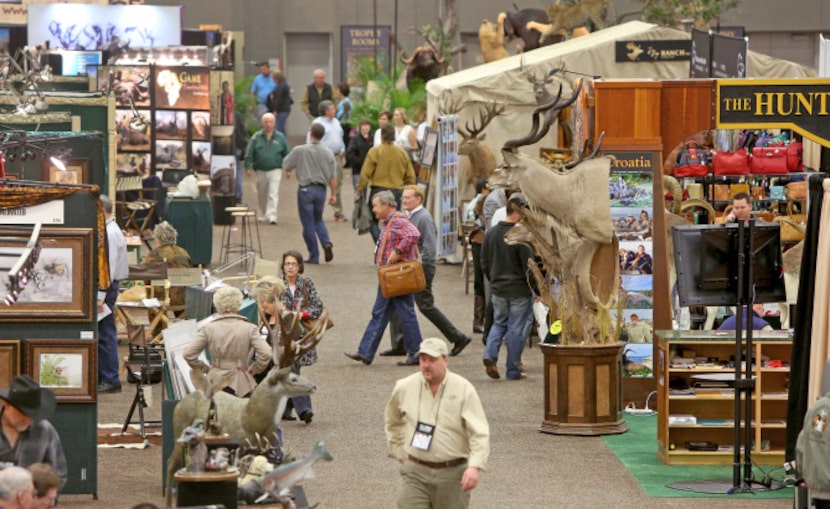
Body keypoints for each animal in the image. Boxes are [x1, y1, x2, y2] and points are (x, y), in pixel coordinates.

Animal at [166, 308, 328, 502]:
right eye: (293, 378)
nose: (314, 386)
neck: (253, 421)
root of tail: (182, 401)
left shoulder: (268, 445)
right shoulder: (241, 444)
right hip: (179, 428)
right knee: (170, 464)